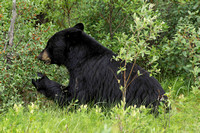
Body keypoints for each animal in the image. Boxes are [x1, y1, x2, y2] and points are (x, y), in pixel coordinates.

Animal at [32, 22, 167, 109]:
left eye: (49, 44)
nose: (39, 56)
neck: (79, 58)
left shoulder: (85, 74)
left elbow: (74, 97)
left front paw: (39, 79)